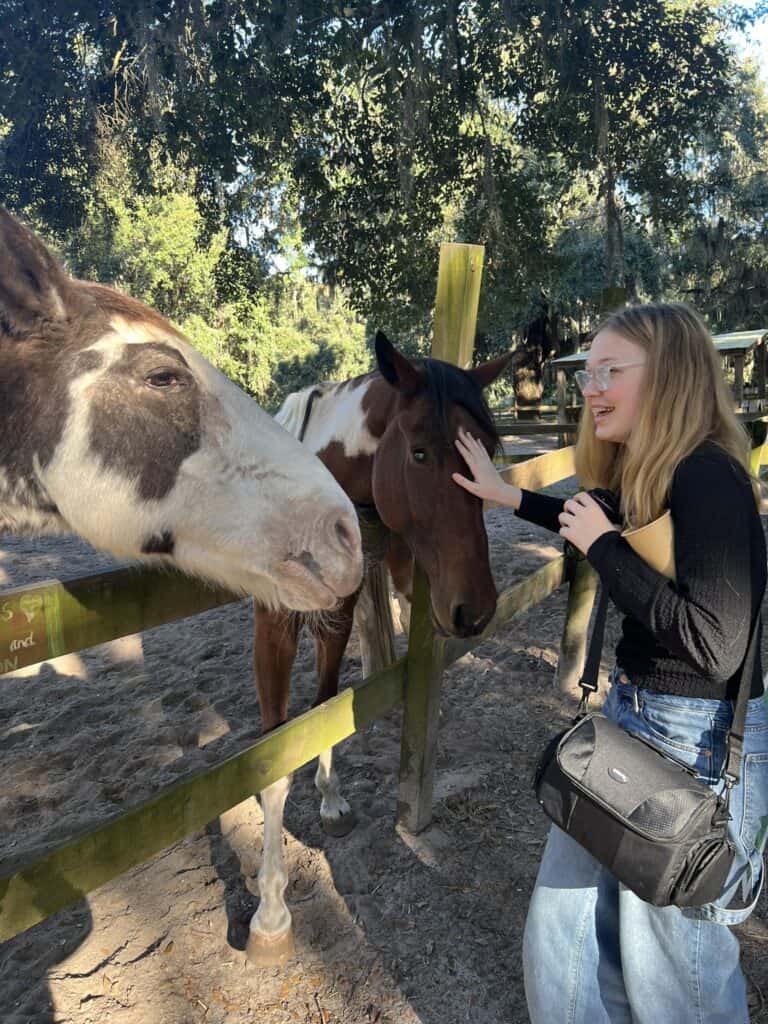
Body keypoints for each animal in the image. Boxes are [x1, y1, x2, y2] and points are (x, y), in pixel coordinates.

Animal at [248, 331, 510, 963]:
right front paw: (270, 914)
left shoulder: (337, 619)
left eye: (488, 450)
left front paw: (331, 802)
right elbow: (275, 761)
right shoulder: (274, 632)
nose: (475, 610)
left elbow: (321, 714)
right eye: (419, 453)